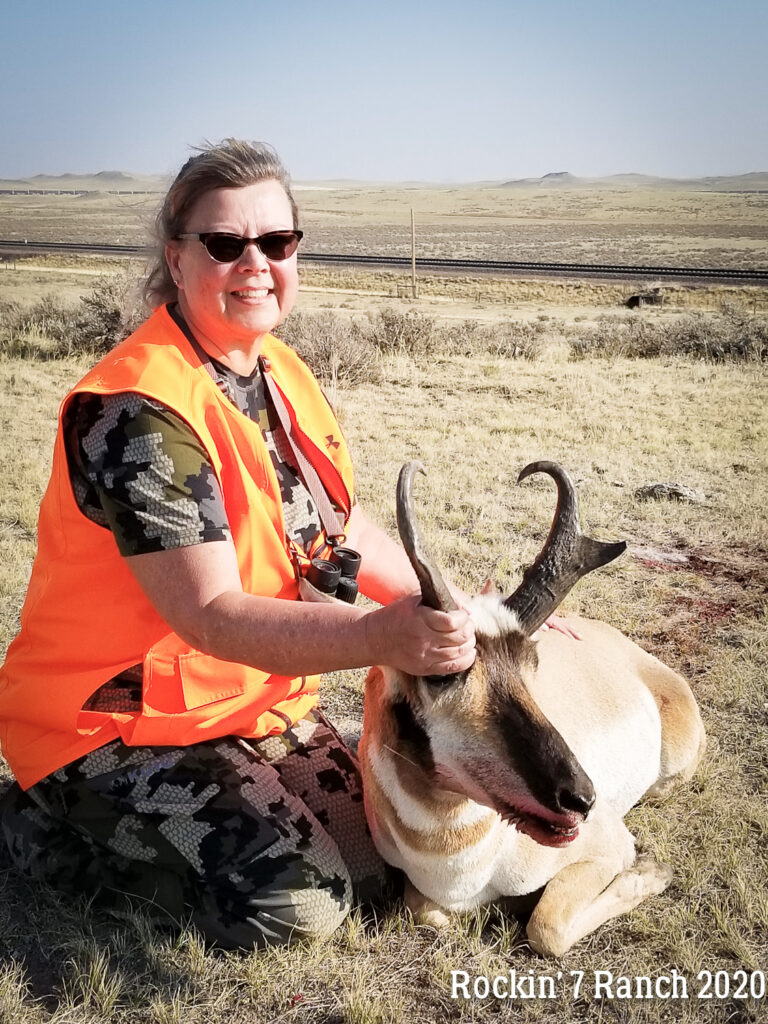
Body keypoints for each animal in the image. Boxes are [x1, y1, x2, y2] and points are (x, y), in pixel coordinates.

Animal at [358, 460, 708, 954]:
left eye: (532, 662)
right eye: (440, 673)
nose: (581, 799)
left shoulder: (608, 848)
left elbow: (547, 927)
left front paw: (652, 871)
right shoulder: (426, 899)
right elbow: (427, 912)